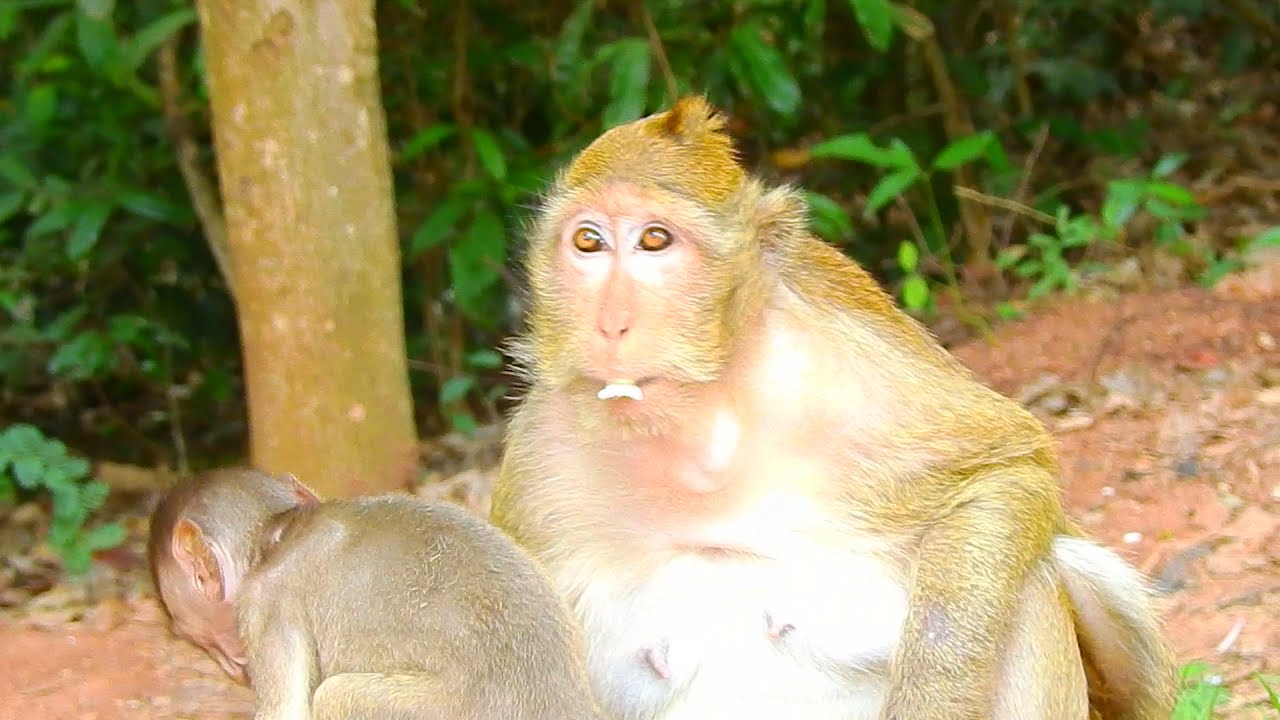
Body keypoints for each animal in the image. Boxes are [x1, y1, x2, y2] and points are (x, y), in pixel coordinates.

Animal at [148, 468, 602, 720]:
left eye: (202, 643)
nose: (230, 666)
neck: (280, 533)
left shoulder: (265, 602)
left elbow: (287, 712)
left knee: (335, 696)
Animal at [489, 95, 1177, 720]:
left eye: (654, 240)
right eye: (588, 242)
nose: (610, 324)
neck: (704, 431)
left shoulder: (857, 371)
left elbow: (1006, 471)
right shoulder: (540, 460)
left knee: (1034, 574)